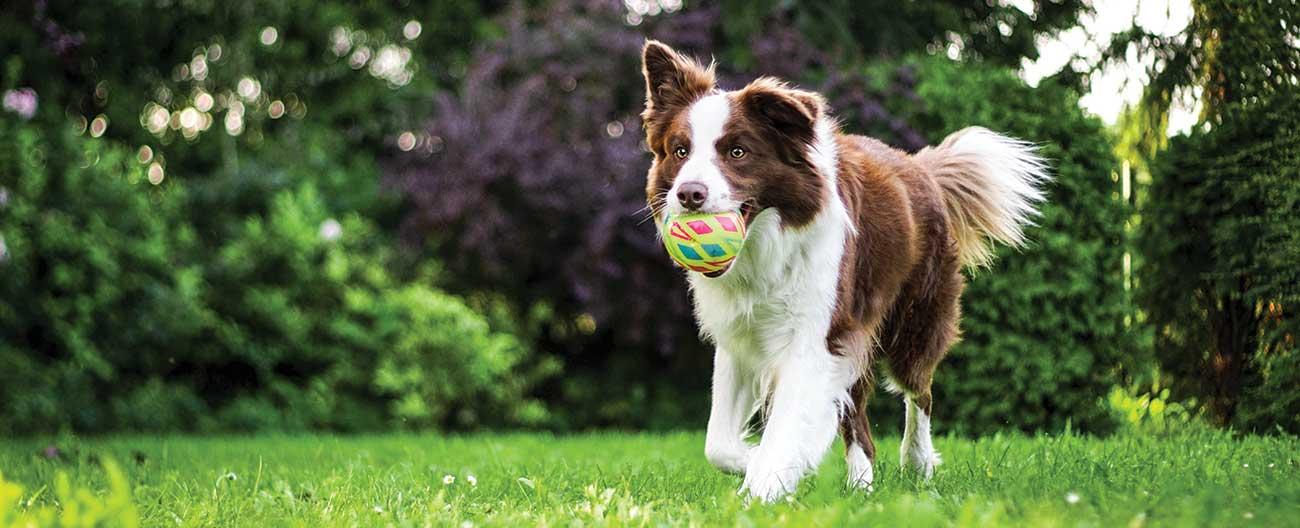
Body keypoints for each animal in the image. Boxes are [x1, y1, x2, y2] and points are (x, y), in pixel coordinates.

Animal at [642, 39, 1055, 501]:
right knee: (858, 417)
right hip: (857, 335)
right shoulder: (741, 337)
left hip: (914, 321)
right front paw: (764, 465)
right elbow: (718, 444)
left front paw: (765, 486)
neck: (765, 248)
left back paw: (917, 462)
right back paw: (861, 485)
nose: (688, 194)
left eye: (737, 152)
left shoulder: (816, 335)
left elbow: (786, 424)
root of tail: (921, 167)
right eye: (680, 151)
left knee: (920, 391)